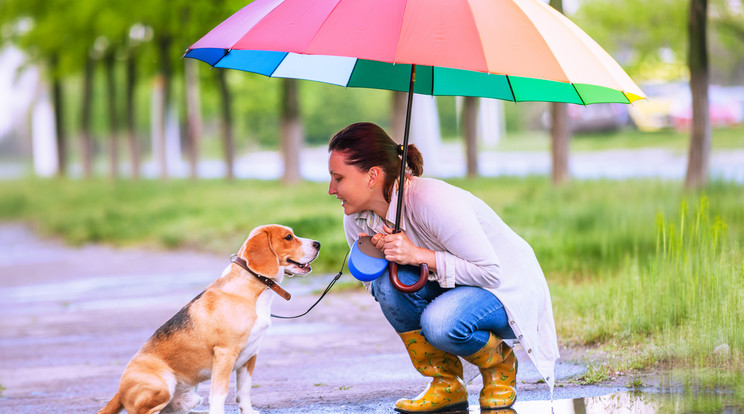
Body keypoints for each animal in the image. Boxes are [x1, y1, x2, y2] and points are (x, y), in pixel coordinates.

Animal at [99, 225, 320, 414]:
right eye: (288, 237)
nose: (318, 243)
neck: (251, 289)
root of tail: (119, 392)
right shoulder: (225, 354)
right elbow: (219, 394)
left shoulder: (251, 355)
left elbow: (244, 392)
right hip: (163, 384)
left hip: (190, 399)